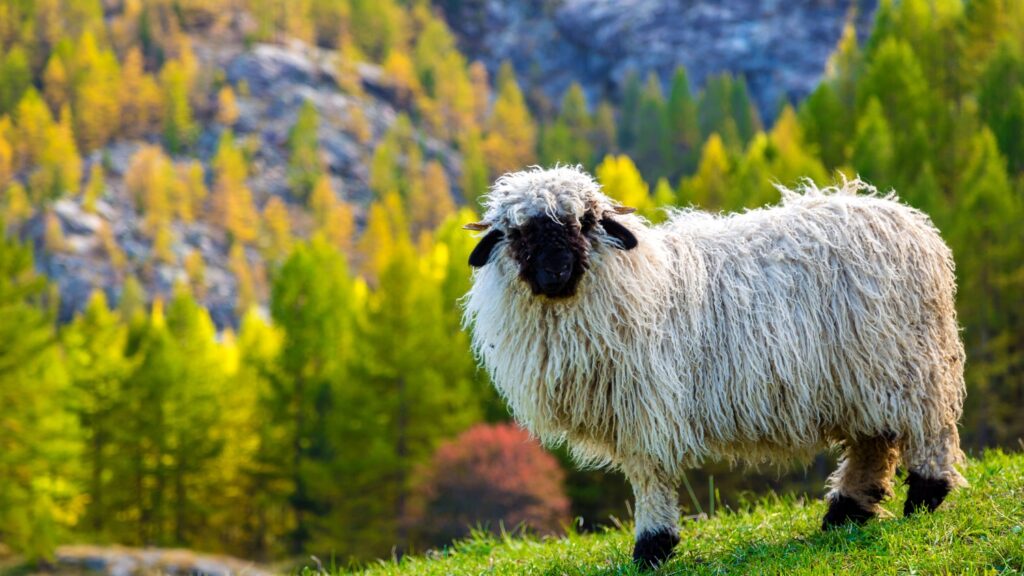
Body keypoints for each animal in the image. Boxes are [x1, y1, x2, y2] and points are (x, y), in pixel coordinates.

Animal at [464, 165, 966, 565]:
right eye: (518, 233)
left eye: (585, 223)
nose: (557, 271)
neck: (630, 280)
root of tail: (908, 220)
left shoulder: (647, 409)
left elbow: (649, 477)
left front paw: (652, 547)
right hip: (864, 379)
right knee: (872, 444)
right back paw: (845, 513)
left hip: (910, 363)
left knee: (929, 429)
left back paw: (925, 496)